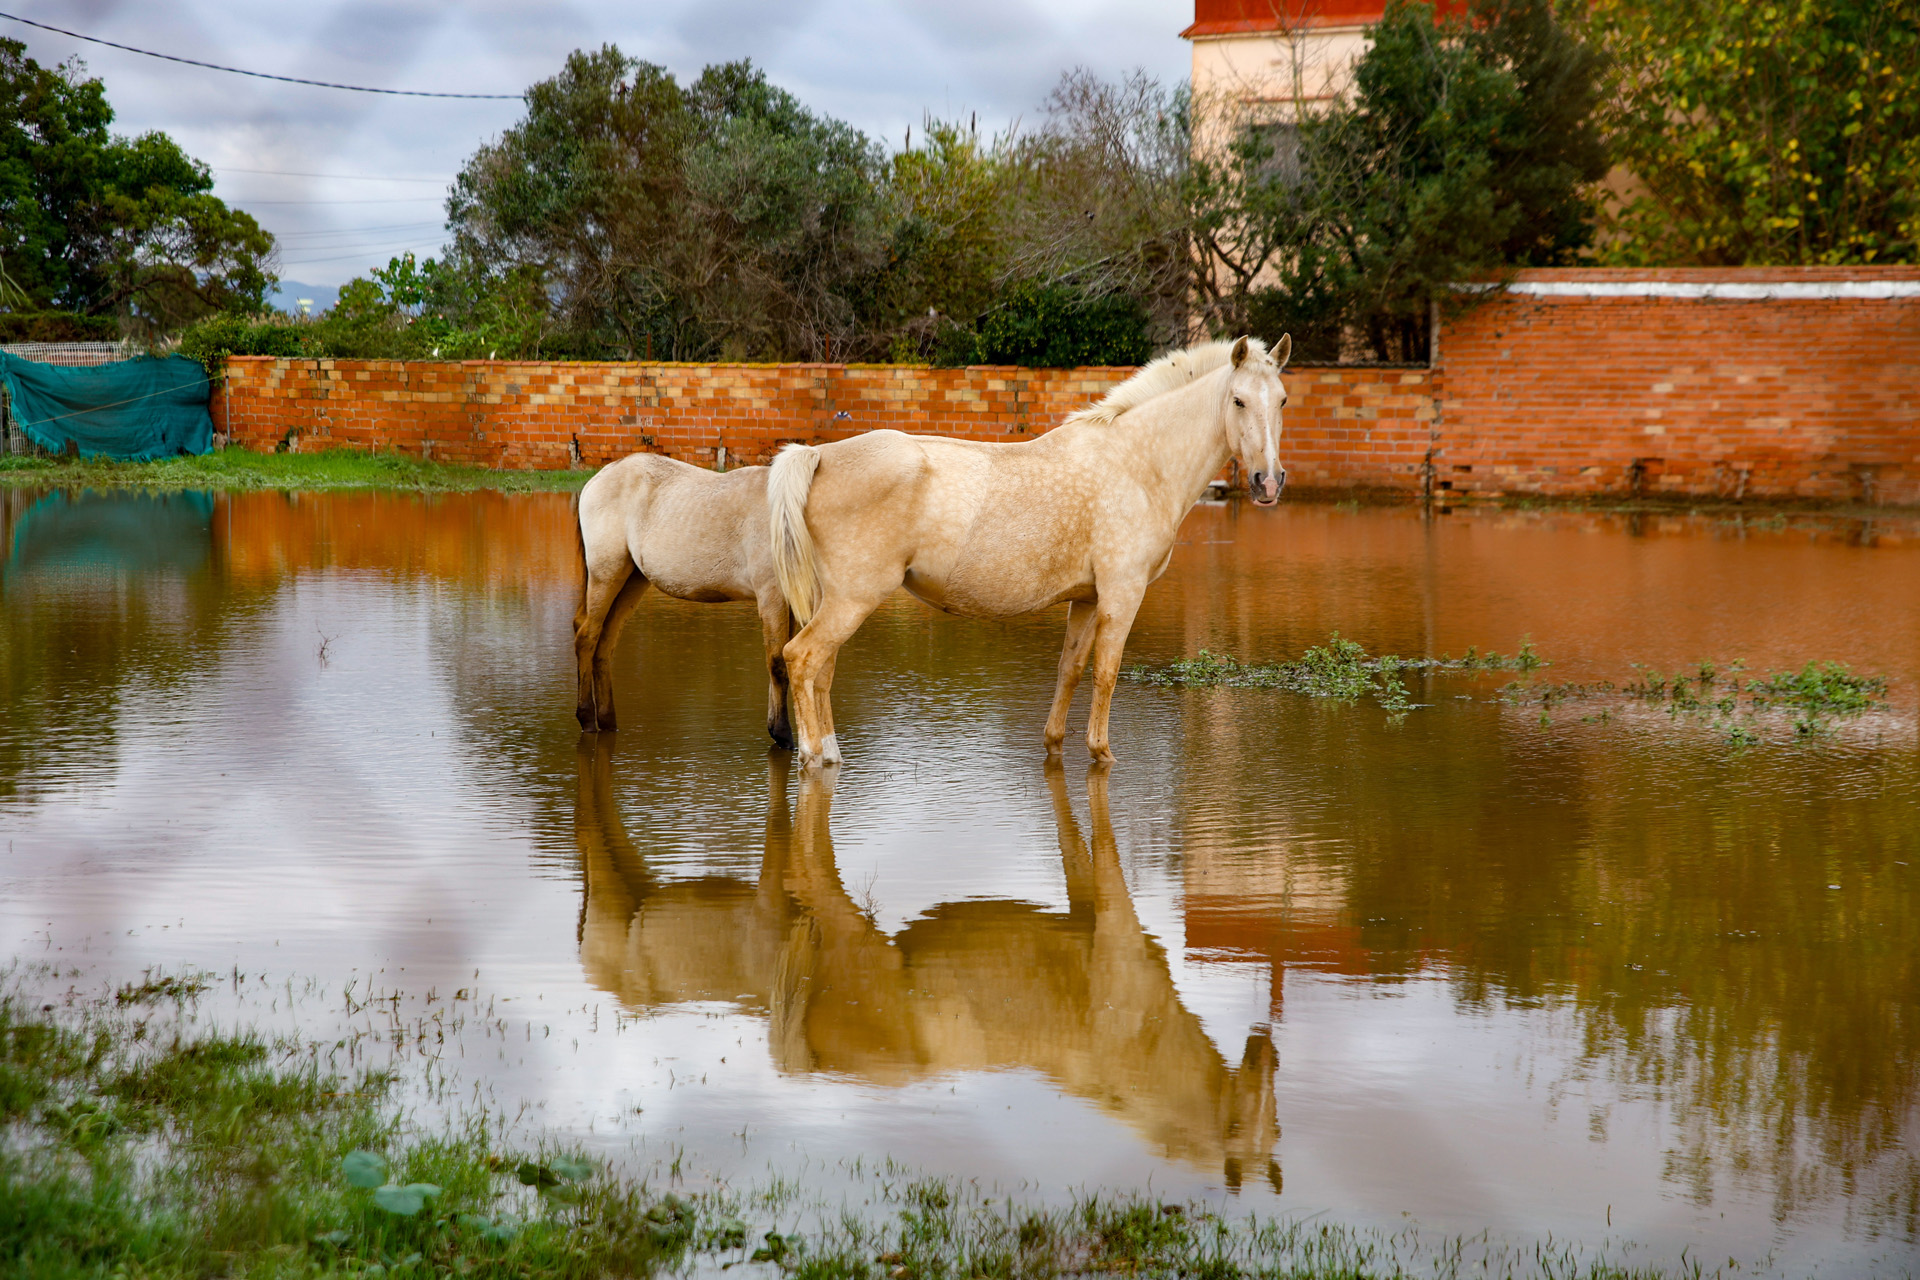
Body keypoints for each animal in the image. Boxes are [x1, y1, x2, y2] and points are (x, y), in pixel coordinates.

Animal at [568, 458, 794, 740]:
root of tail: (597, 479)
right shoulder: (772, 596)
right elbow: (778, 664)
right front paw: (783, 734)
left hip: (631, 581)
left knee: (604, 645)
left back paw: (608, 722)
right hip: (606, 576)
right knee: (587, 638)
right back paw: (587, 718)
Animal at [764, 335, 1290, 767]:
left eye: (1282, 400)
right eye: (1239, 400)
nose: (1267, 482)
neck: (1138, 462)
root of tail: (819, 455)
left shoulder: (1088, 599)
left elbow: (1070, 670)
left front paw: (1055, 743)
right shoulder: (1122, 594)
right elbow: (1106, 673)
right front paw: (1102, 752)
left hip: (835, 601)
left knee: (822, 671)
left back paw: (830, 751)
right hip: (853, 600)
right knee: (802, 658)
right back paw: (813, 756)